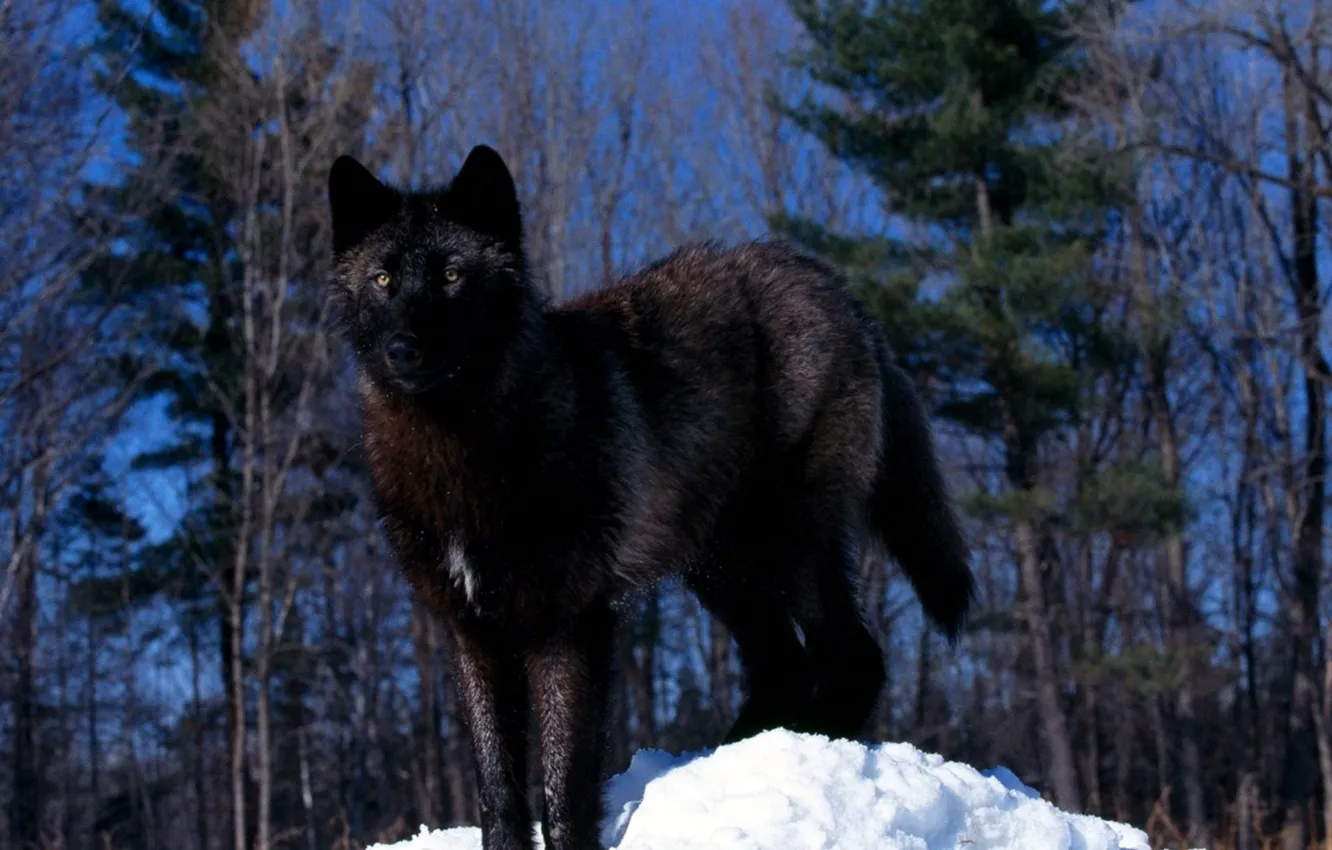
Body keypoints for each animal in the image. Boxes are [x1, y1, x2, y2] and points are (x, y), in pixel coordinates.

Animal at [326, 145, 974, 850]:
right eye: (384, 281)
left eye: (450, 276)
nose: (404, 350)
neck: (463, 455)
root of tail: (839, 292)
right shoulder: (472, 635)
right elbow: (498, 792)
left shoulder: (570, 629)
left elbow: (563, 791)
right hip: (721, 568)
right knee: (786, 665)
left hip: (793, 544)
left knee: (855, 655)